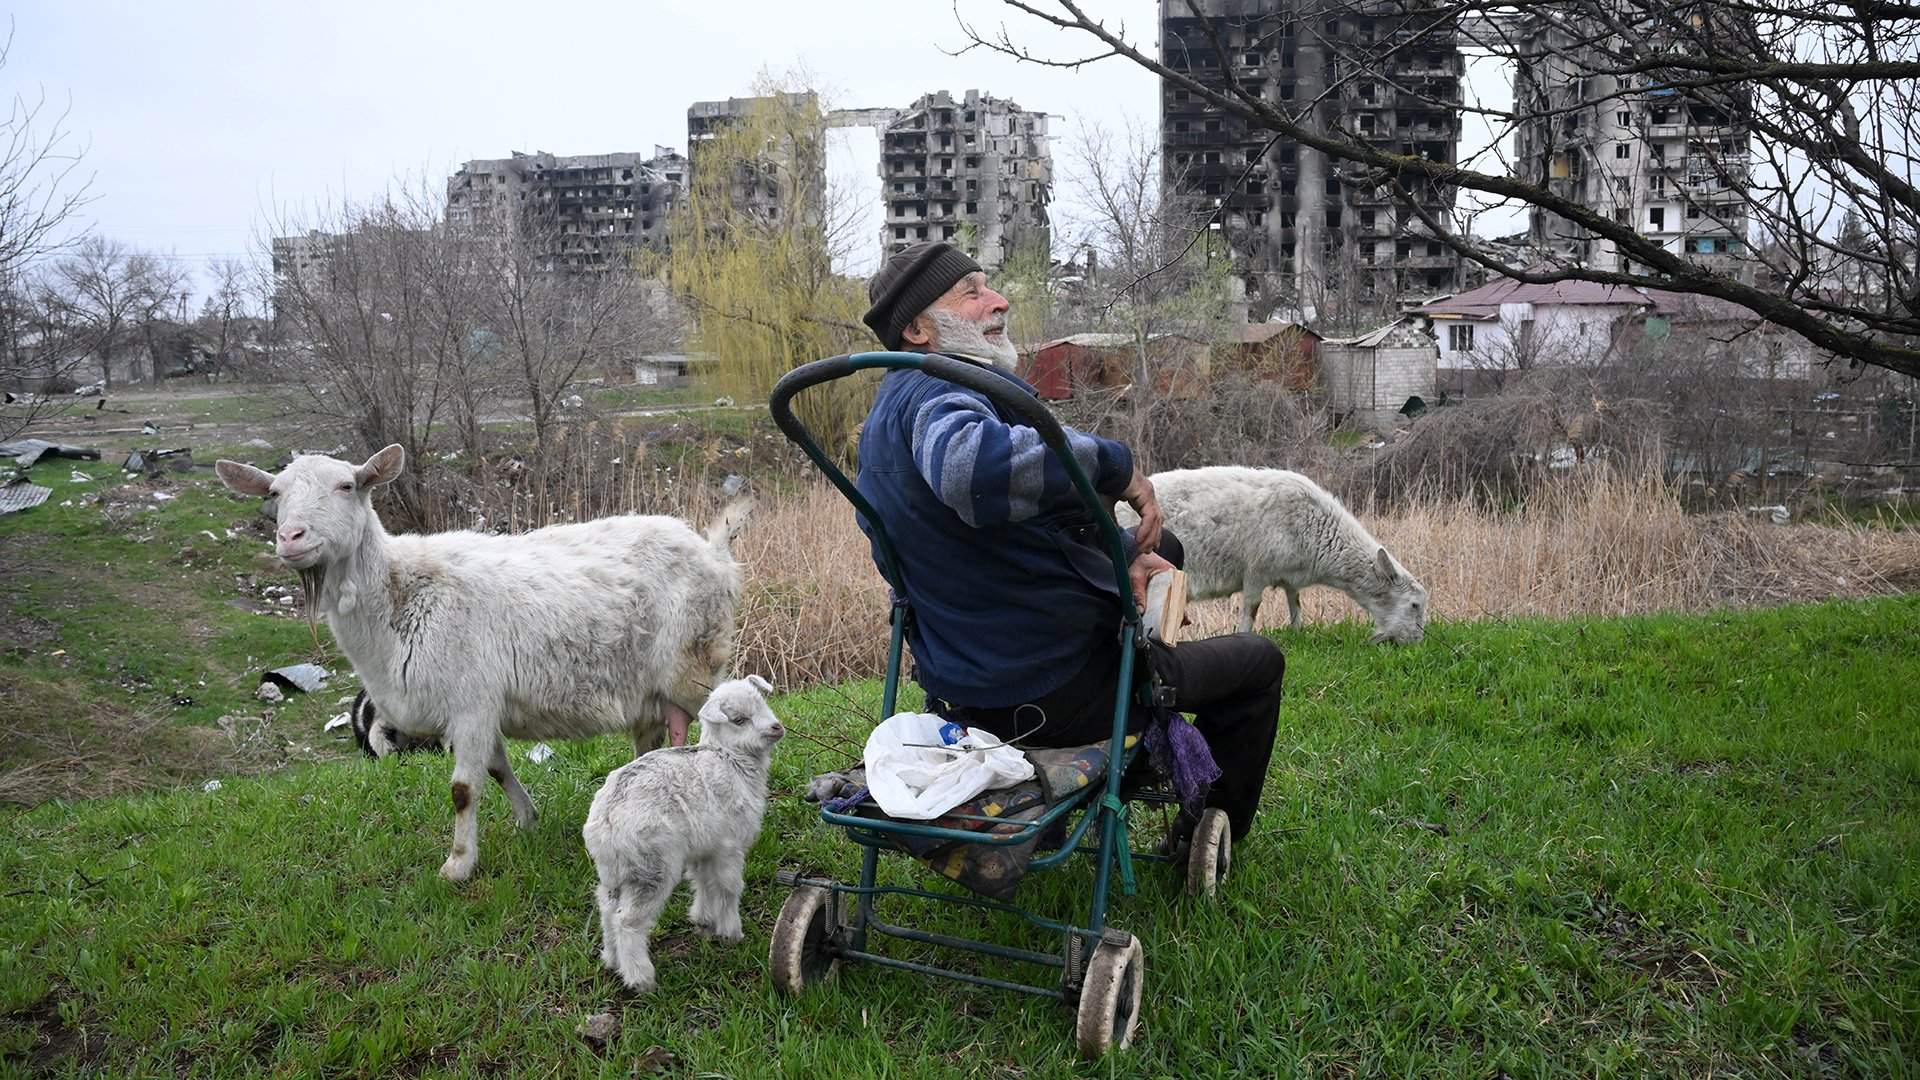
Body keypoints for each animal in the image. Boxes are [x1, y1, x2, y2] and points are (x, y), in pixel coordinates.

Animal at [212, 443, 748, 876]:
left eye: (347, 486)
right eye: (275, 492)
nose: (292, 538)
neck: (400, 594)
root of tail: (712, 551)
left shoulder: (469, 701)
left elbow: (463, 789)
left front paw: (458, 865)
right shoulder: (480, 706)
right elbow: (496, 770)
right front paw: (527, 821)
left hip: (696, 664)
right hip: (647, 687)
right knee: (653, 740)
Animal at [576, 672, 779, 991]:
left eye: (763, 703)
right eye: (739, 720)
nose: (776, 728)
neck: (730, 757)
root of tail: (606, 819)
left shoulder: (704, 848)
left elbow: (703, 882)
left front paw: (703, 920)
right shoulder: (729, 846)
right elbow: (729, 887)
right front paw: (732, 933)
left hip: (614, 870)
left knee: (607, 909)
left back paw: (611, 960)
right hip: (651, 867)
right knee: (628, 920)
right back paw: (640, 979)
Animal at [1121, 463, 1428, 638]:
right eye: (1414, 605)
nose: (1416, 642)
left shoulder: (1290, 576)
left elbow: (1295, 603)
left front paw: (1298, 632)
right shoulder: (1256, 571)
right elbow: (1251, 610)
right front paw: (1244, 636)